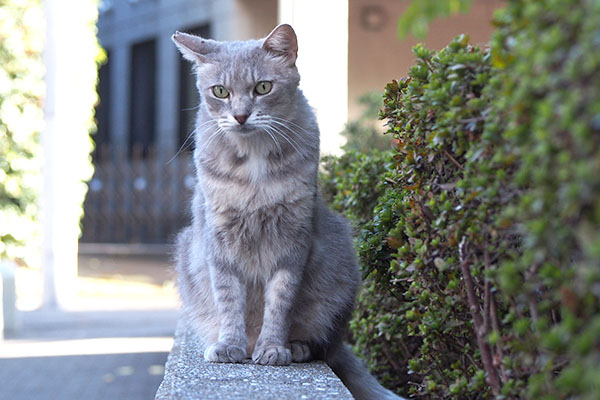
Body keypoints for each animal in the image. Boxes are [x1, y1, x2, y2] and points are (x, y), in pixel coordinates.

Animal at [171, 24, 400, 400]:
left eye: (263, 87)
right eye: (220, 91)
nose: (240, 115)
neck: (253, 165)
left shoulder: (293, 240)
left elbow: (280, 301)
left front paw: (273, 349)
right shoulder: (219, 239)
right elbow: (228, 297)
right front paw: (229, 345)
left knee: (322, 344)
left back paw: (296, 347)